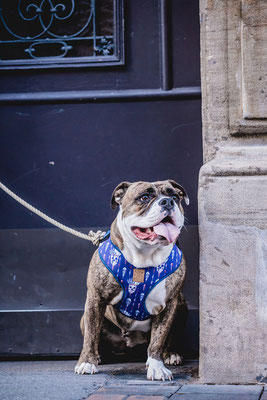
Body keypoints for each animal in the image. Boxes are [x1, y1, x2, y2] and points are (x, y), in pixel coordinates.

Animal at [74, 180, 189, 380]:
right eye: (144, 197)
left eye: (175, 197)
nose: (167, 202)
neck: (144, 255)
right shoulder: (96, 298)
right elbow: (90, 335)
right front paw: (87, 362)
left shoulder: (169, 303)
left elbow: (159, 338)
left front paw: (156, 366)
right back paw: (98, 356)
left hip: (181, 304)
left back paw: (171, 354)